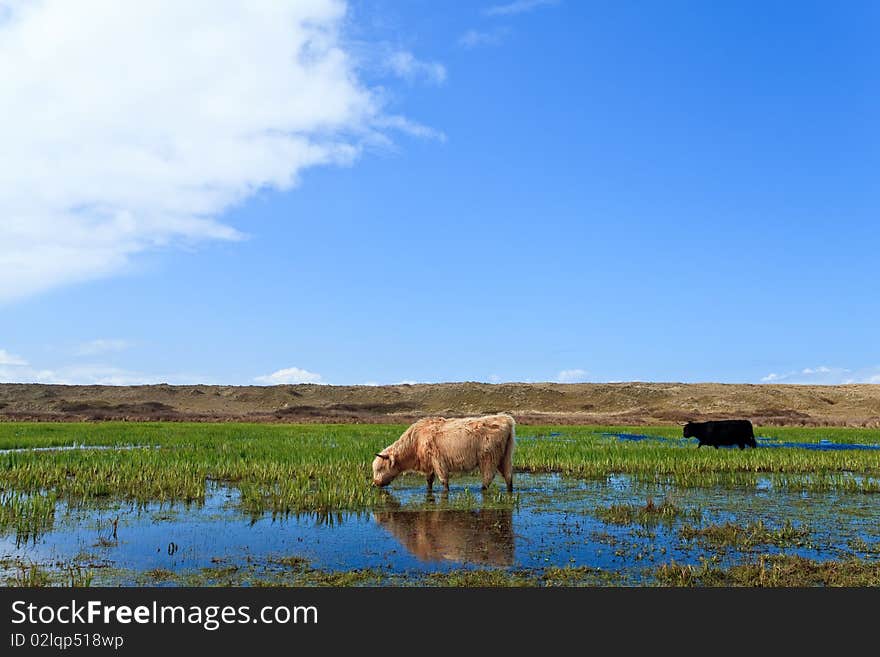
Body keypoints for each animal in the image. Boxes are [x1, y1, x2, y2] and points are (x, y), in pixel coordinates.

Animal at [372, 412, 516, 490]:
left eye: (380, 468)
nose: (374, 484)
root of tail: (506, 419)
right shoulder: (429, 463)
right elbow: (429, 480)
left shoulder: (438, 460)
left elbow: (443, 481)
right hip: (505, 456)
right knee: (509, 476)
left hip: (488, 458)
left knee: (487, 478)